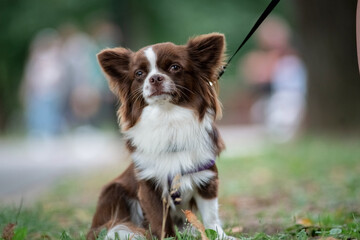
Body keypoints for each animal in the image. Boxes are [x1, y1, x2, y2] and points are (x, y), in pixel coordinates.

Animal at [88, 33, 232, 240]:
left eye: (175, 67)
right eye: (139, 73)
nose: (155, 78)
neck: (168, 117)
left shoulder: (207, 177)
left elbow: (211, 215)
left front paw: (221, 235)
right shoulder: (149, 185)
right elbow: (159, 221)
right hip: (113, 191)